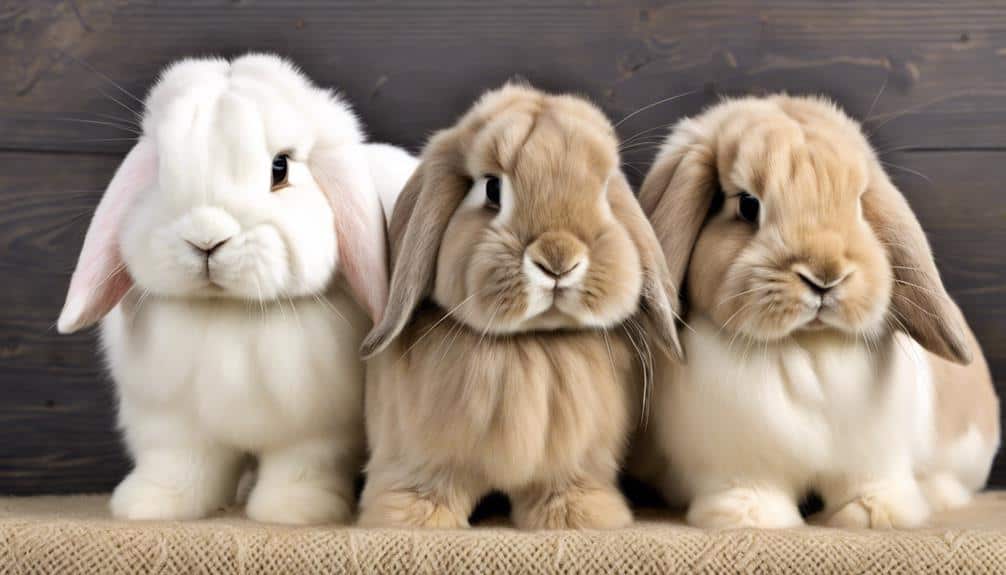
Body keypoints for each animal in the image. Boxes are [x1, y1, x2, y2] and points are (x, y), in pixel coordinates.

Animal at [56, 54, 418, 525]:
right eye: (159, 171)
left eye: (281, 168)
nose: (205, 239)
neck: (229, 312)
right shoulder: (171, 422)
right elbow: (178, 465)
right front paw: (152, 505)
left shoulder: (318, 429)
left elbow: (304, 465)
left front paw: (296, 511)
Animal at [355, 83, 682, 529]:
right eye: (492, 189)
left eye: (603, 193)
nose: (559, 258)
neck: (531, 345)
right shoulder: (419, 455)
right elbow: (427, 483)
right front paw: (412, 518)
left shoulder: (573, 462)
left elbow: (566, 484)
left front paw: (580, 516)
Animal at [631, 94, 1000, 529]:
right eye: (747, 205)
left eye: (859, 205)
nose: (826, 276)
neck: (804, 345)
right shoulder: (734, 465)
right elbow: (747, 488)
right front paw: (750, 517)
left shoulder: (876, 457)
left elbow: (872, 484)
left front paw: (875, 516)